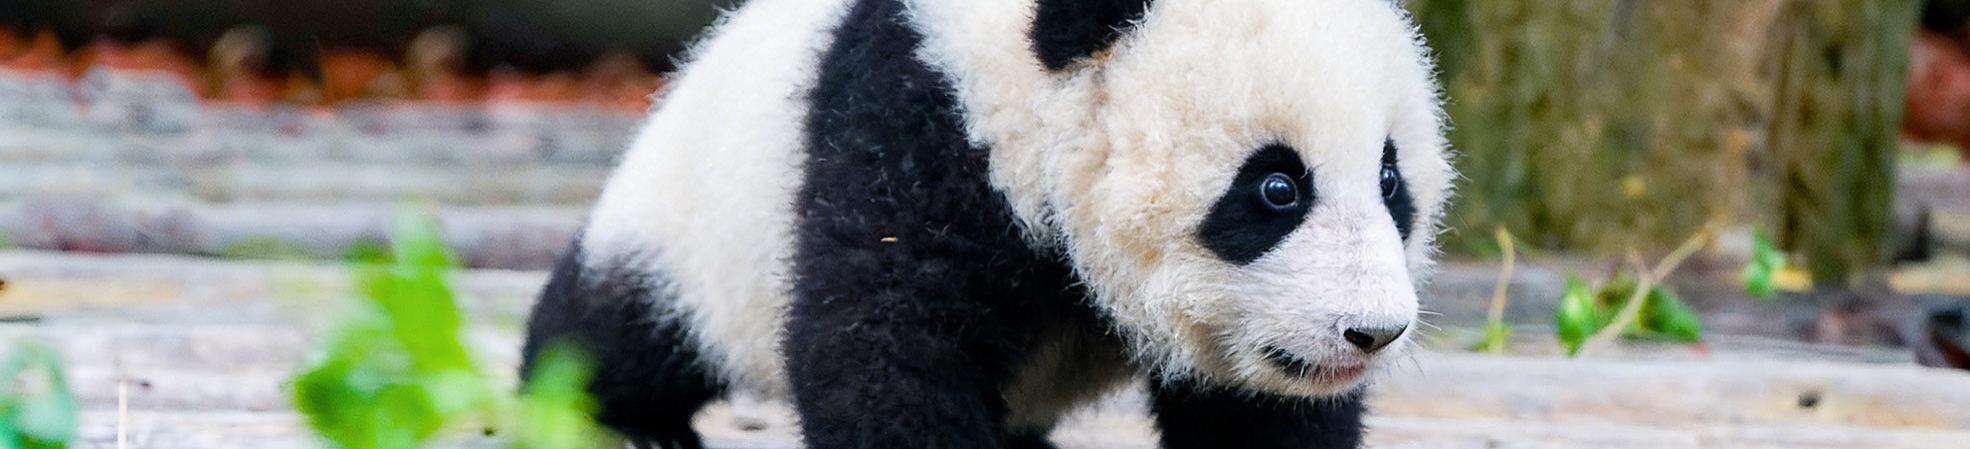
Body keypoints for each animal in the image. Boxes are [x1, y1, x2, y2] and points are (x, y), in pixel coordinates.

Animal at [520, 0, 1454, 448]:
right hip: (691, 226)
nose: (1371, 331)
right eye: (1276, 188)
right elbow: (888, 349)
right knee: (617, 327)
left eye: (1390, 179)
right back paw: (618, 417)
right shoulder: (916, 127)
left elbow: (1257, 414)